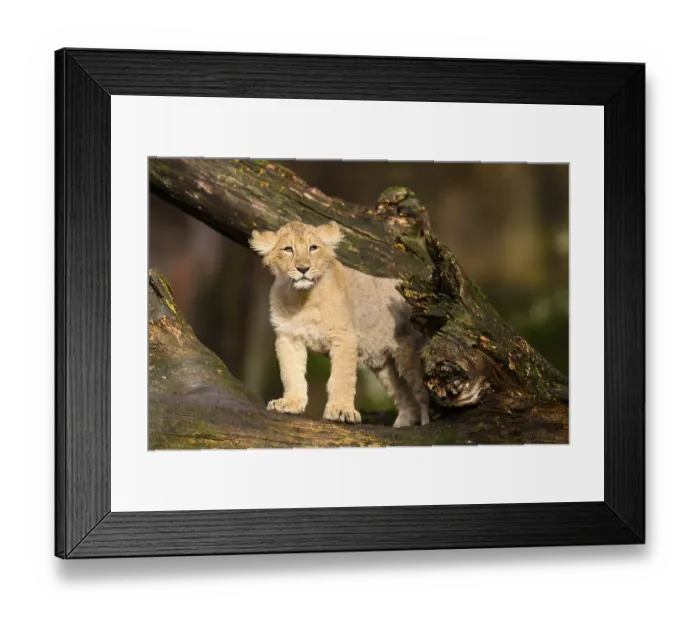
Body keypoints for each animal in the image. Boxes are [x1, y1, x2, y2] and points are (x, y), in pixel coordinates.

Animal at [250, 220, 430, 428]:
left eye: (313, 248)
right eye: (288, 249)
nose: (303, 268)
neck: (302, 298)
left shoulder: (344, 337)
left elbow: (341, 377)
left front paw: (341, 411)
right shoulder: (288, 337)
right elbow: (291, 373)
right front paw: (290, 402)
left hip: (412, 358)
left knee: (425, 397)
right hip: (386, 367)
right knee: (408, 401)